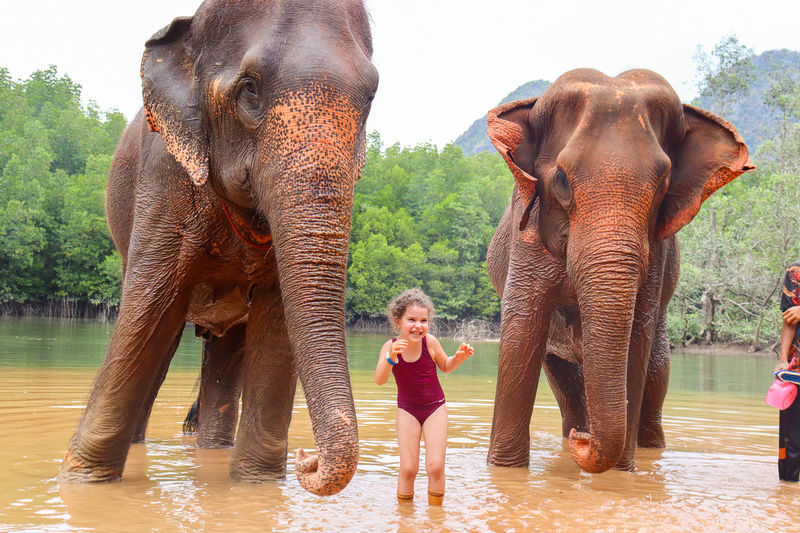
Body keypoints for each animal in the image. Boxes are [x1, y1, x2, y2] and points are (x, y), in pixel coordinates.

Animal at [59, 0, 378, 497]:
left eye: (369, 100)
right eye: (250, 90)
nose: (307, 458)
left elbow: (278, 321)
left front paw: (256, 490)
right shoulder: (164, 175)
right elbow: (147, 308)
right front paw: (82, 485)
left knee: (226, 352)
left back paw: (211, 449)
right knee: (160, 338)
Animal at [485, 68, 753, 474]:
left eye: (663, 183)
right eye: (561, 179)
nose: (583, 440)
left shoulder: (656, 254)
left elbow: (636, 341)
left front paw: (622, 474)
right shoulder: (526, 238)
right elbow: (521, 335)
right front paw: (505, 470)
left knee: (656, 374)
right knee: (562, 378)